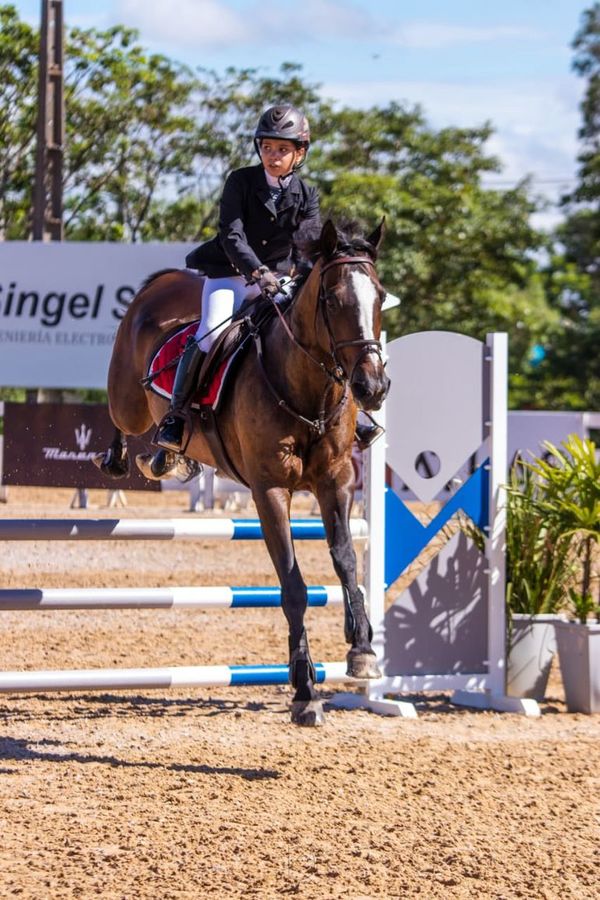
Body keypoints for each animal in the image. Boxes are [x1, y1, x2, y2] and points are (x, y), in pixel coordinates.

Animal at [95, 221, 390, 728]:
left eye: (381, 297)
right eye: (332, 300)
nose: (372, 387)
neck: (306, 389)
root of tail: (162, 283)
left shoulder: (335, 483)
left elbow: (346, 561)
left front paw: (363, 651)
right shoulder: (269, 491)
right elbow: (293, 586)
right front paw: (305, 692)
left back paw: (170, 457)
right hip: (127, 400)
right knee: (120, 416)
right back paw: (122, 456)